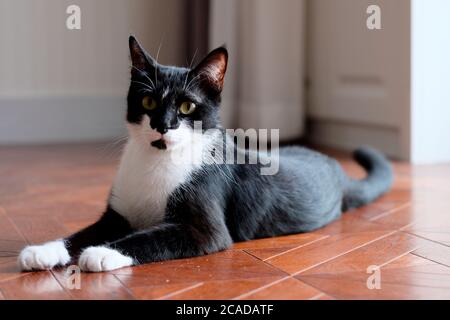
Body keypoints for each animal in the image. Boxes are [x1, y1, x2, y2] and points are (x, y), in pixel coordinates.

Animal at [18, 37, 390, 272]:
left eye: (186, 107)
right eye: (148, 101)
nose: (163, 125)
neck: (156, 162)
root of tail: (335, 167)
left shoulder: (206, 228)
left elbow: (149, 237)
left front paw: (104, 252)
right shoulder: (117, 215)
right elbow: (81, 233)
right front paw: (43, 250)